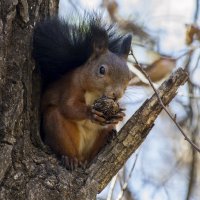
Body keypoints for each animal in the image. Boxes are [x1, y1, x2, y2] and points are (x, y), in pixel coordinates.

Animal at [32, 14, 133, 170]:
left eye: (129, 77)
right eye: (101, 70)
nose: (117, 95)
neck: (96, 94)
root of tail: (82, 158)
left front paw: (120, 115)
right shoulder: (72, 85)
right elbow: (68, 106)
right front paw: (90, 112)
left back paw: (107, 138)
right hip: (56, 126)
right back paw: (70, 158)